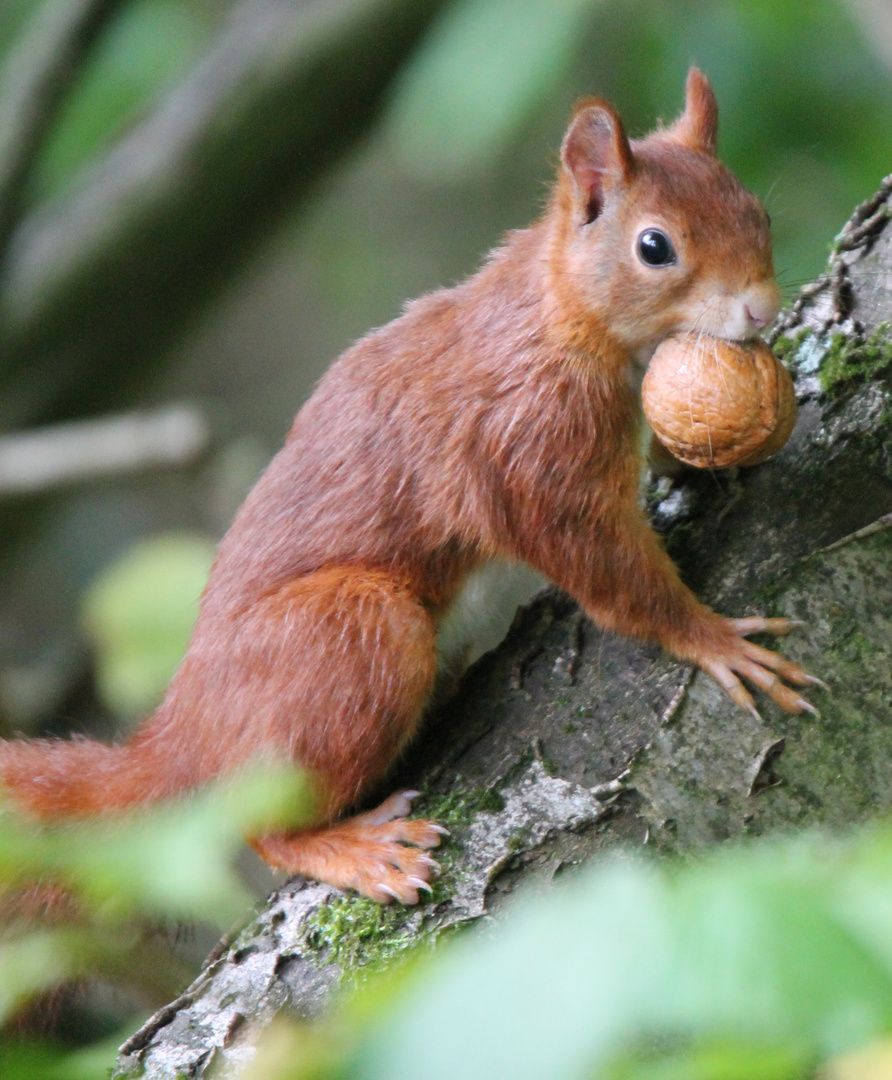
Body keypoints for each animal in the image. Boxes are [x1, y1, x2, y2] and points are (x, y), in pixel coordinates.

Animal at [0, 69, 812, 902]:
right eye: (655, 247)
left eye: (757, 210)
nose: (762, 309)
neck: (562, 319)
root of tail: (183, 738)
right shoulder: (527, 445)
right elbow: (604, 566)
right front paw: (713, 638)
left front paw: (720, 459)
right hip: (351, 640)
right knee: (258, 825)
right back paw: (352, 849)